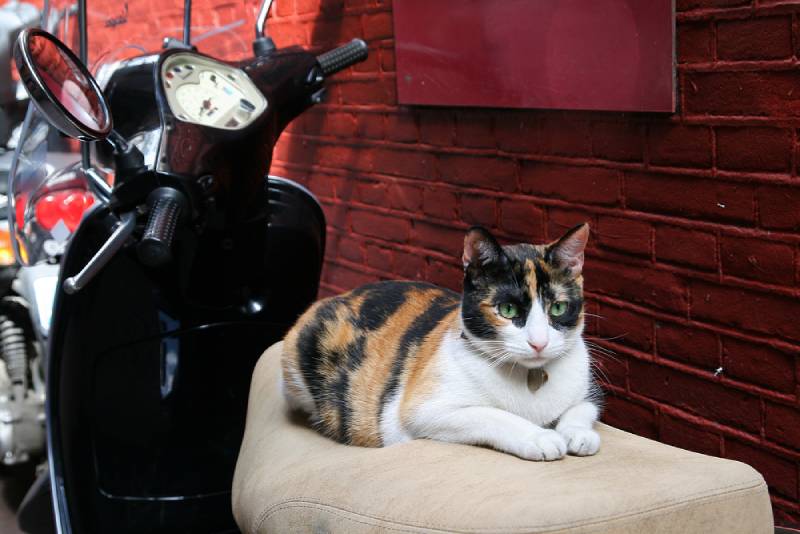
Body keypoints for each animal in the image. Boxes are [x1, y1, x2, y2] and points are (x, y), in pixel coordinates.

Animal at [282, 224, 600, 462]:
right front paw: (540, 436)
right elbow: (490, 414)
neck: (530, 380)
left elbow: (584, 406)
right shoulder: (423, 411)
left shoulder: (587, 388)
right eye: (507, 310)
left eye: (558, 308)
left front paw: (579, 434)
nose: (539, 343)